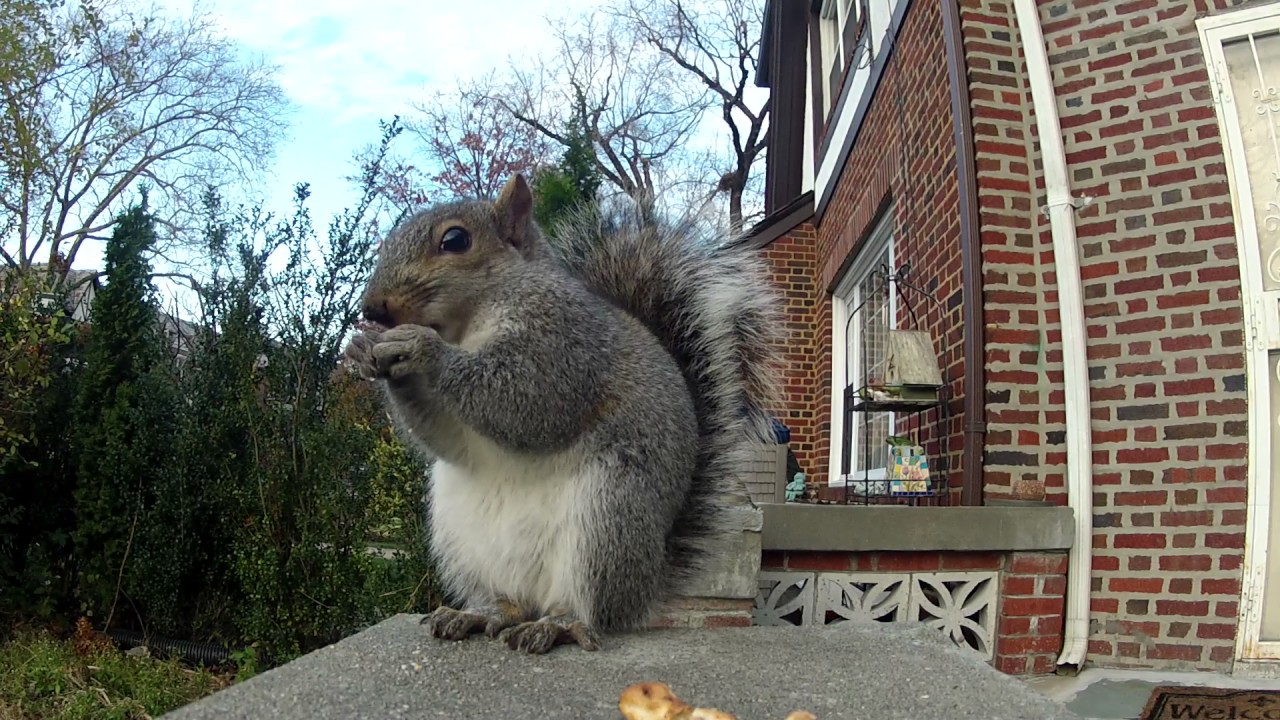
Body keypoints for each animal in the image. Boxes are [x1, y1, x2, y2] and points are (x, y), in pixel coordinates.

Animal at [343, 173, 781, 654]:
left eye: (455, 240)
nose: (372, 308)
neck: (467, 324)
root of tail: (646, 585)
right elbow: (447, 439)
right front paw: (363, 350)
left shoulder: (564, 341)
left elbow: (532, 400)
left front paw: (423, 348)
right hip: (458, 538)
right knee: (508, 601)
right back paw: (480, 614)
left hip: (608, 517)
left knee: (586, 609)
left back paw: (557, 625)